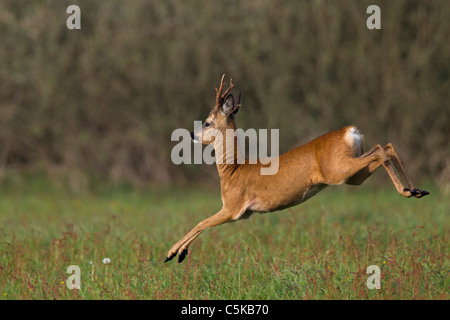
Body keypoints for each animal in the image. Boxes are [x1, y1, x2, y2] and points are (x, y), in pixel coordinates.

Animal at [164, 74, 428, 262]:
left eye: (207, 122)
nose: (191, 134)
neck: (233, 170)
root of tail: (351, 131)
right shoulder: (240, 212)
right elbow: (202, 223)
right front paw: (177, 253)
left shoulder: (233, 207)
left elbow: (201, 222)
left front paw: (172, 254)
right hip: (354, 175)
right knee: (387, 146)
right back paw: (416, 191)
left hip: (339, 171)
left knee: (381, 150)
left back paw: (408, 191)